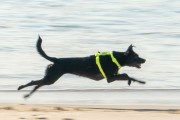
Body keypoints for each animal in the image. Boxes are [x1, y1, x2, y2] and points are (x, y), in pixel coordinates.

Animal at [17, 36, 146, 98]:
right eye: (136, 56)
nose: (144, 60)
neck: (117, 58)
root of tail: (56, 59)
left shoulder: (113, 76)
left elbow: (129, 76)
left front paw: (141, 82)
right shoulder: (110, 78)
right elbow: (126, 75)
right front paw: (130, 81)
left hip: (50, 78)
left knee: (38, 84)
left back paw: (27, 95)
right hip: (51, 77)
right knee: (34, 82)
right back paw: (21, 87)